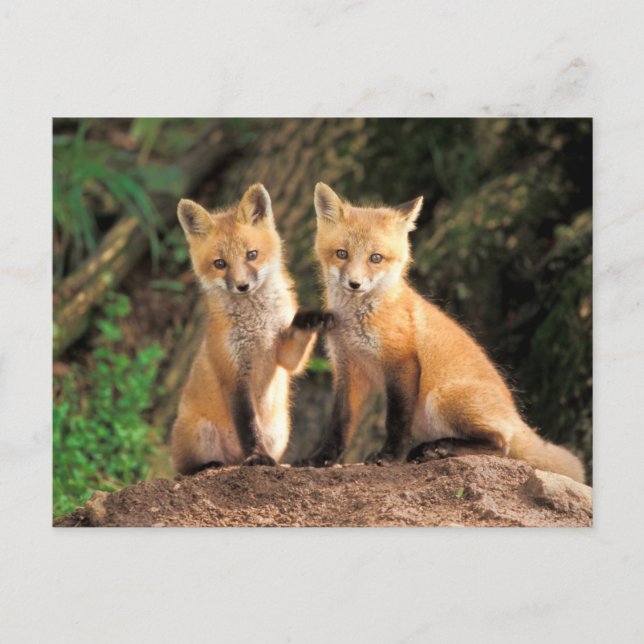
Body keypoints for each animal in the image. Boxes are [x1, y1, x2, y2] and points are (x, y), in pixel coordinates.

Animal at [171, 183, 332, 474]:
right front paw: (257, 456)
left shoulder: (283, 355)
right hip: (200, 433)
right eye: (220, 264)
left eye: (252, 255)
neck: (257, 326)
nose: (242, 286)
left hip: (280, 431)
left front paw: (311, 318)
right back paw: (210, 466)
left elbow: (294, 349)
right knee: (184, 469)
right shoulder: (234, 375)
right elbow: (248, 427)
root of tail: (233, 460)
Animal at [295, 182, 585, 484]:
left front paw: (389, 457)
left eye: (376, 258)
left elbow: (396, 419)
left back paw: (440, 449)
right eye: (342, 253)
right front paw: (321, 460)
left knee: (501, 444)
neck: (357, 321)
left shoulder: (402, 361)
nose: (355, 284)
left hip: (440, 398)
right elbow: (339, 423)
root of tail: (515, 415)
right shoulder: (348, 369)